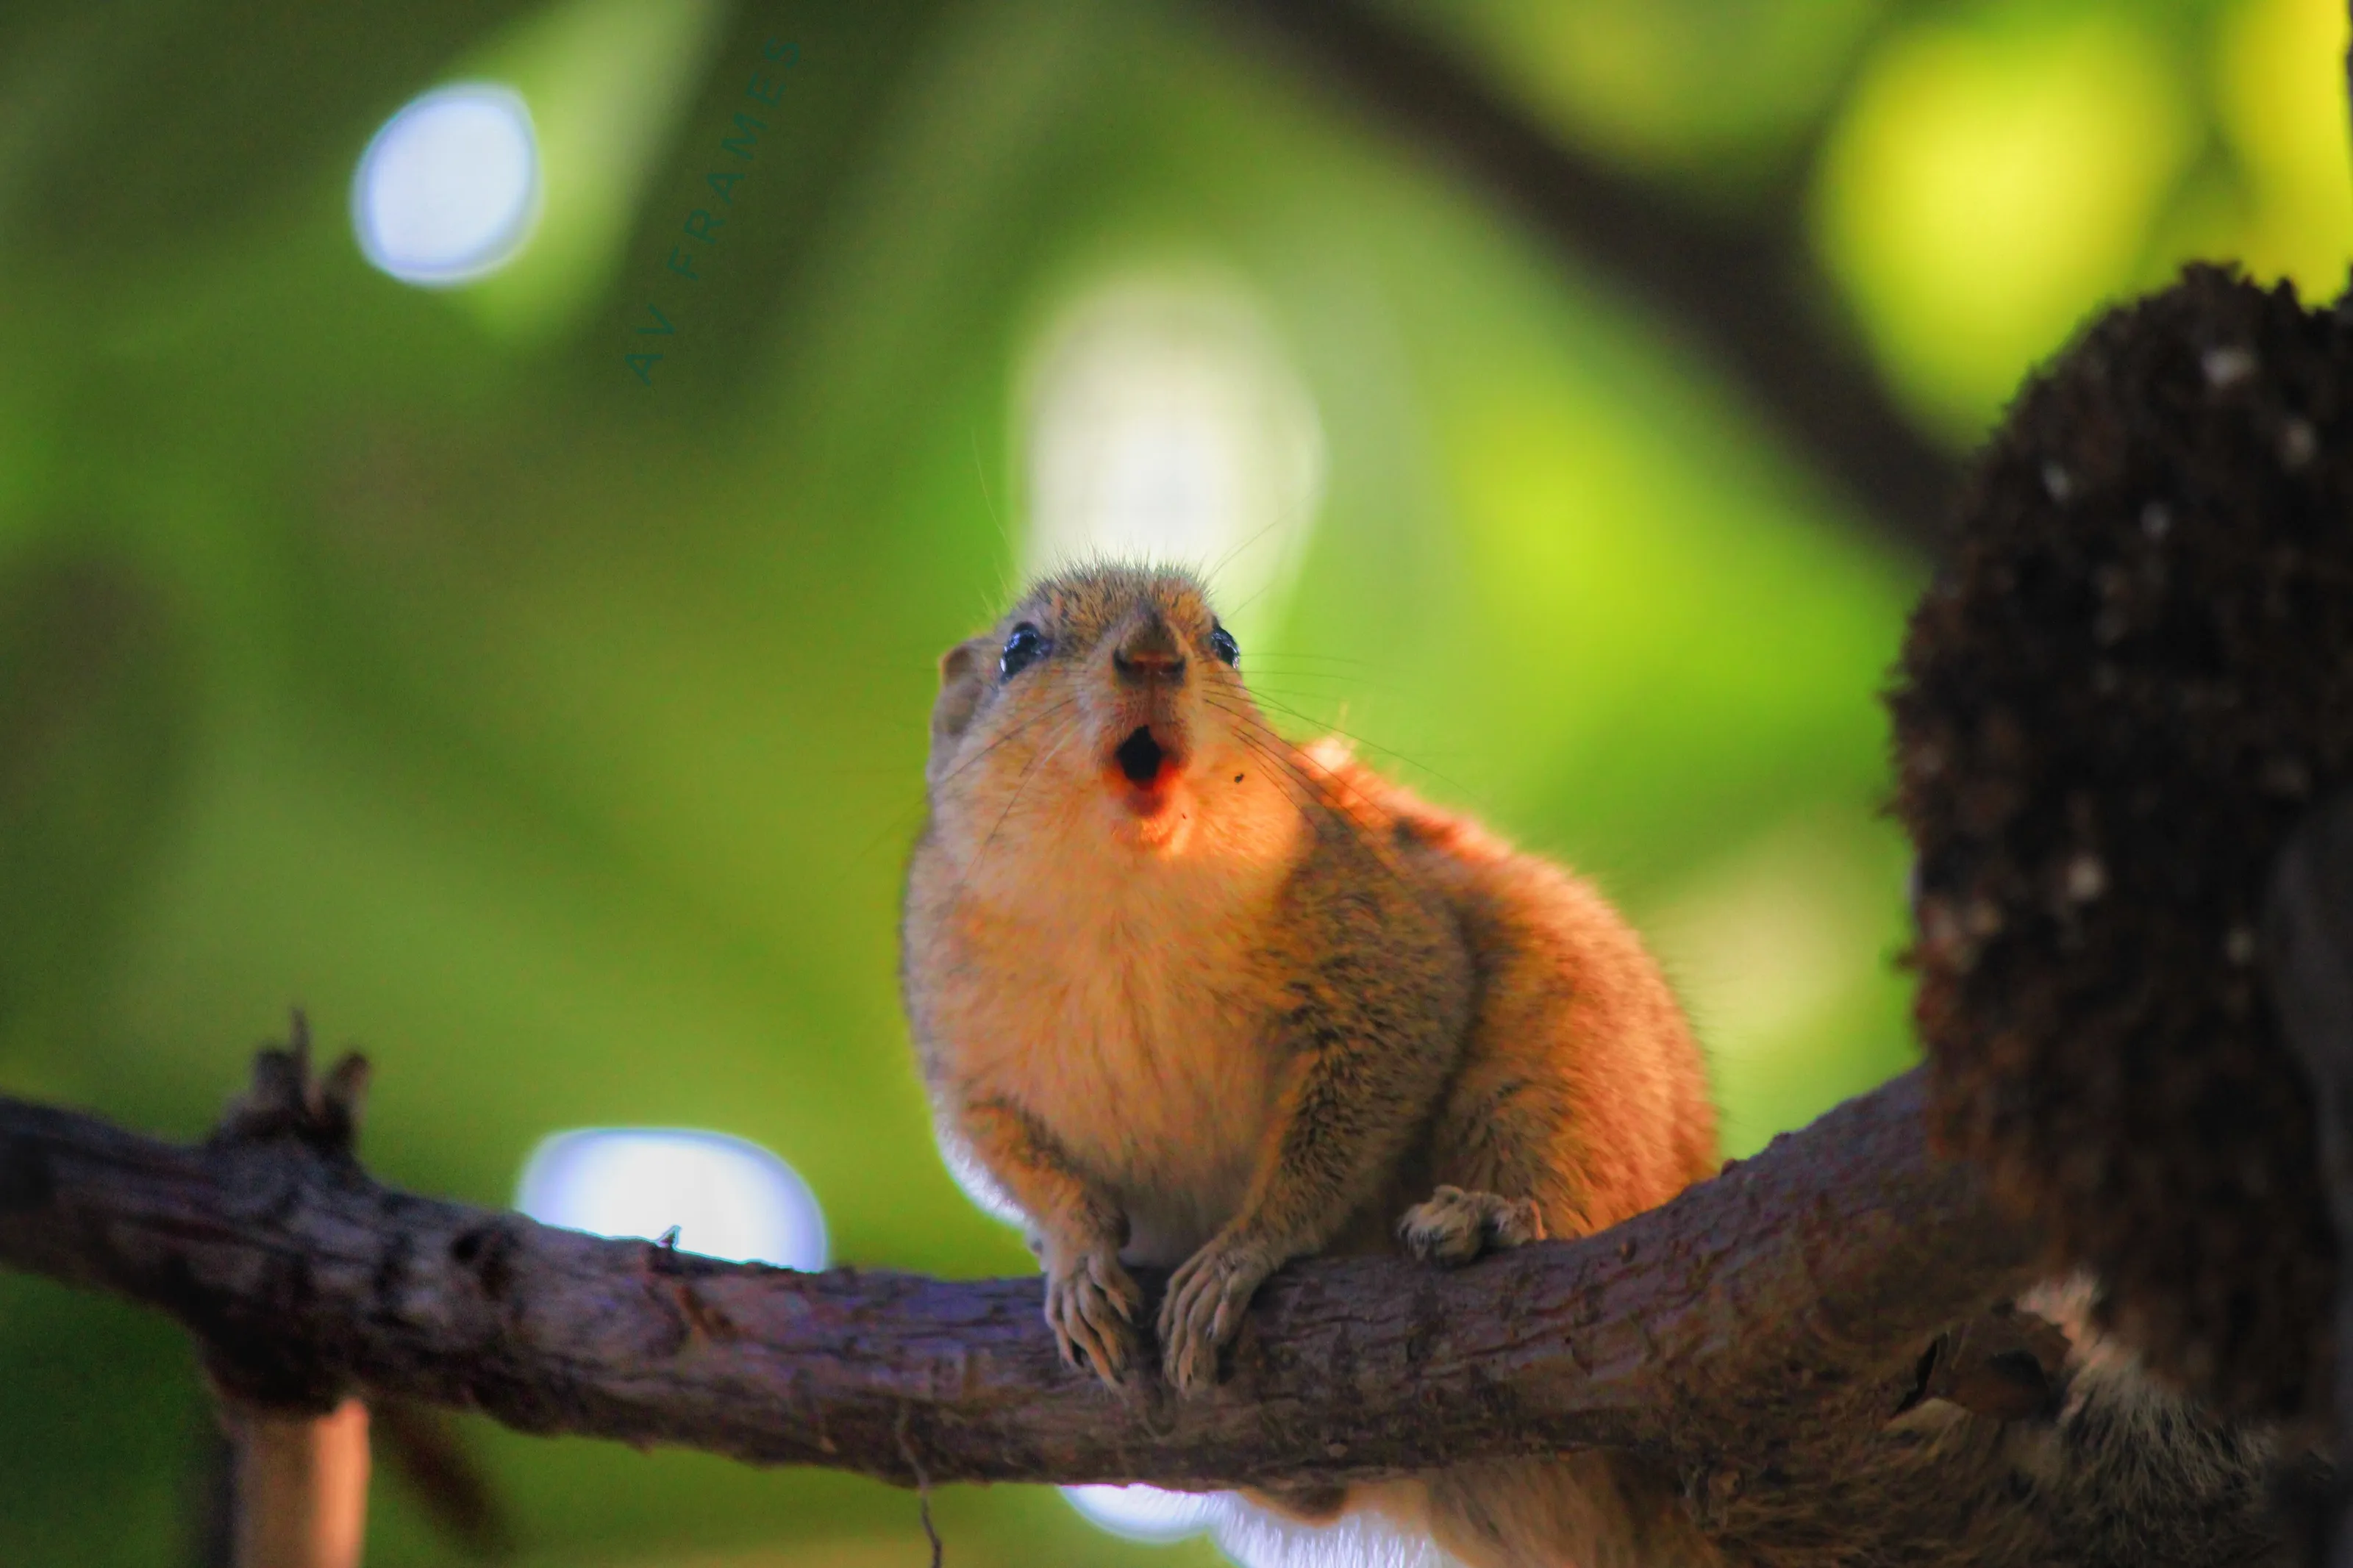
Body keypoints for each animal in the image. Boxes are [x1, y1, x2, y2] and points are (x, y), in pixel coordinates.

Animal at [900, 562, 1720, 1567]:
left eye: (1224, 645)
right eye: (1019, 649)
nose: (1151, 653)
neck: (1121, 904)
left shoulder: (1383, 946)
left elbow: (1352, 1113)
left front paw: (1243, 1251)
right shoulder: (957, 1045)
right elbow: (1008, 1154)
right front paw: (1073, 1255)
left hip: (1566, 1048)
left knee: (1573, 1177)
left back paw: (1488, 1218)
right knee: (1316, 1500)